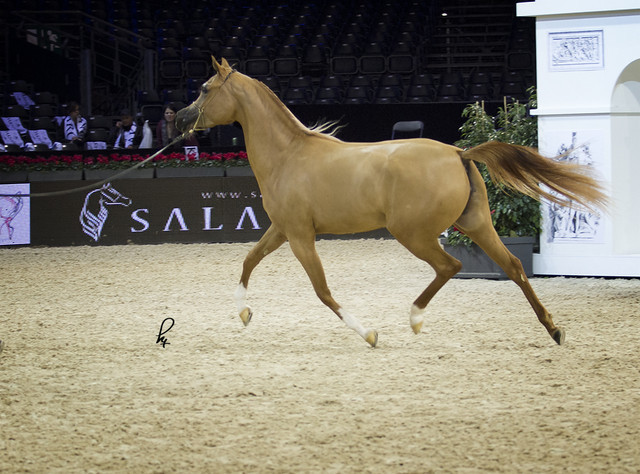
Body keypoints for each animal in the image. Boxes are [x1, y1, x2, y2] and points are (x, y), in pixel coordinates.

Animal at [176, 57, 607, 348]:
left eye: (204, 89)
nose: (179, 119)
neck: (288, 155)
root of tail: (458, 152)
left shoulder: (300, 237)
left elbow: (322, 290)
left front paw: (369, 333)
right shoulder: (282, 230)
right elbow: (248, 260)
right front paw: (244, 313)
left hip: (412, 233)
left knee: (450, 266)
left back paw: (415, 318)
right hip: (476, 224)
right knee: (514, 267)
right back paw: (554, 329)